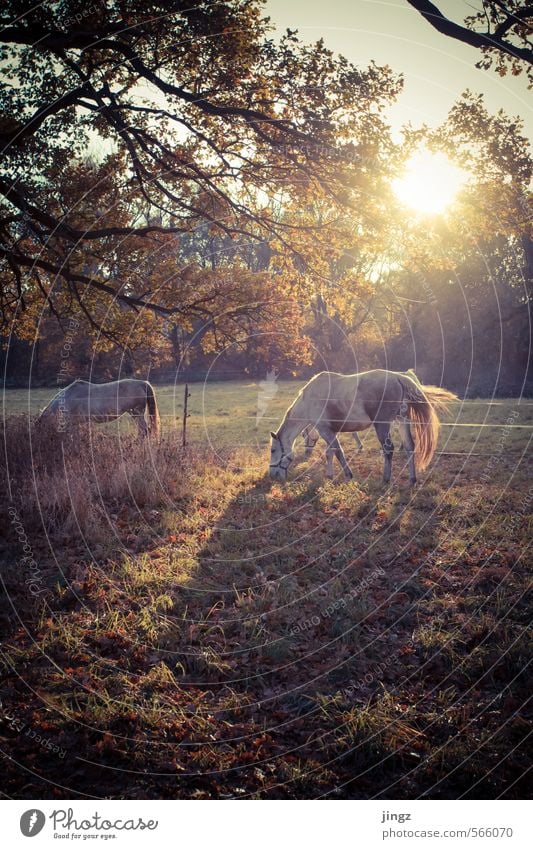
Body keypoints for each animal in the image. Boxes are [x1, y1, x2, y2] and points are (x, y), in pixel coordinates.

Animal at [270, 370, 458, 484]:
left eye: (273, 450)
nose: (273, 476)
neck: (309, 400)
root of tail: (398, 377)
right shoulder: (331, 431)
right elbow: (329, 452)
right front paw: (330, 475)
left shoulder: (325, 430)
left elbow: (338, 452)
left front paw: (348, 474)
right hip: (402, 421)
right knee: (409, 447)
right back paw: (412, 479)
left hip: (382, 425)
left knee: (388, 449)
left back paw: (386, 479)